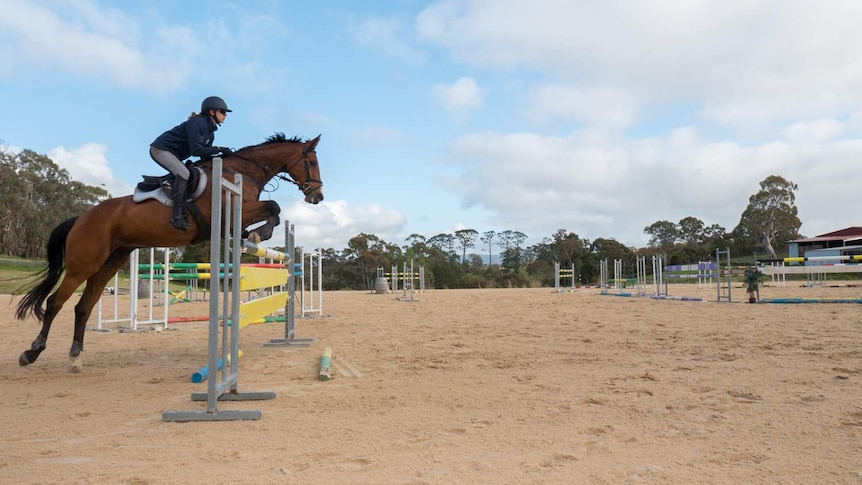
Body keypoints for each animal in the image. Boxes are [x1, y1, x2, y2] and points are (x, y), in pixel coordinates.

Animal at [15, 132, 326, 370]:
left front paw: (254, 234)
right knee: (55, 302)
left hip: (110, 262)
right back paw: (32, 352)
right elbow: (273, 206)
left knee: (83, 307)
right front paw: (259, 233)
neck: (242, 172)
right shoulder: (228, 213)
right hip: (85, 264)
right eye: (311, 161)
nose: (318, 196)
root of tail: (81, 217)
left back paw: (75, 357)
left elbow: (272, 210)